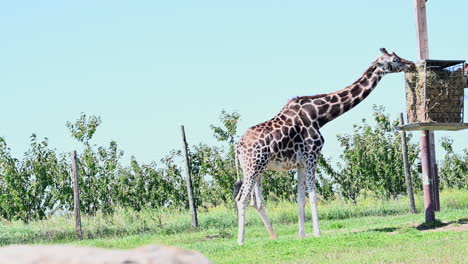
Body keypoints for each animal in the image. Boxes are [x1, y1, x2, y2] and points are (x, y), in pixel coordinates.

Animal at [233, 47, 414, 245]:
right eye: (394, 59)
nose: (411, 64)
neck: (319, 115)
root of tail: (238, 146)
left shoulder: (301, 163)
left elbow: (300, 198)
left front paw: (302, 234)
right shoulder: (312, 156)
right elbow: (313, 196)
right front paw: (317, 233)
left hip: (257, 169)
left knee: (254, 201)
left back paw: (273, 237)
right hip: (253, 166)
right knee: (241, 199)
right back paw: (240, 241)